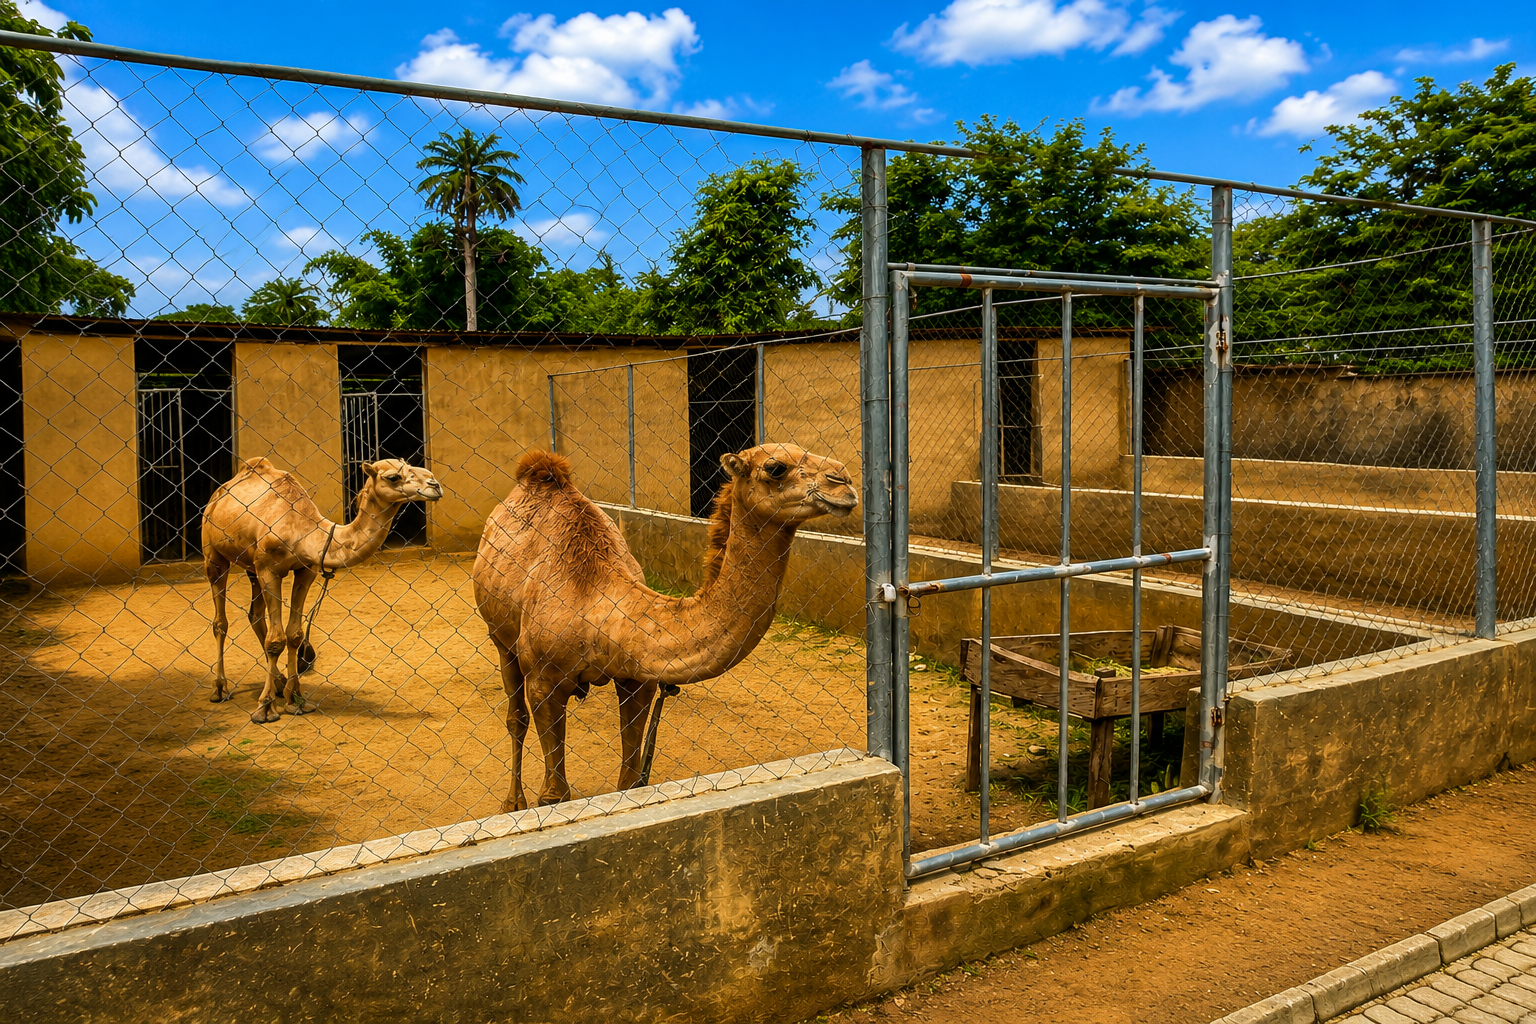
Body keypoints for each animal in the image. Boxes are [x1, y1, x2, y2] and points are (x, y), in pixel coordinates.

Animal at [202, 456, 444, 723]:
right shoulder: (268, 568)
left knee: (255, 615)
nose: (435, 485)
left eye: (419, 468)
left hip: (251, 567)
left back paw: (279, 684)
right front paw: (264, 708)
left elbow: (294, 635)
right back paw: (220, 688)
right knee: (221, 621)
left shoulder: (305, 569)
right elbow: (276, 640)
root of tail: (219, 493)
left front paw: (296, 699)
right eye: (393, 477)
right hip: (214, 554)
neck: (304, 531)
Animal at [472, 442, 857, 810]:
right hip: (501, 638)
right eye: (776, 467)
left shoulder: (637, 680)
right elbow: (554, 795)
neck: (597, 608)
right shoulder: (544, 680)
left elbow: (630, 781)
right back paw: (513, 802)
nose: (844, 482)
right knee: (515, 716)